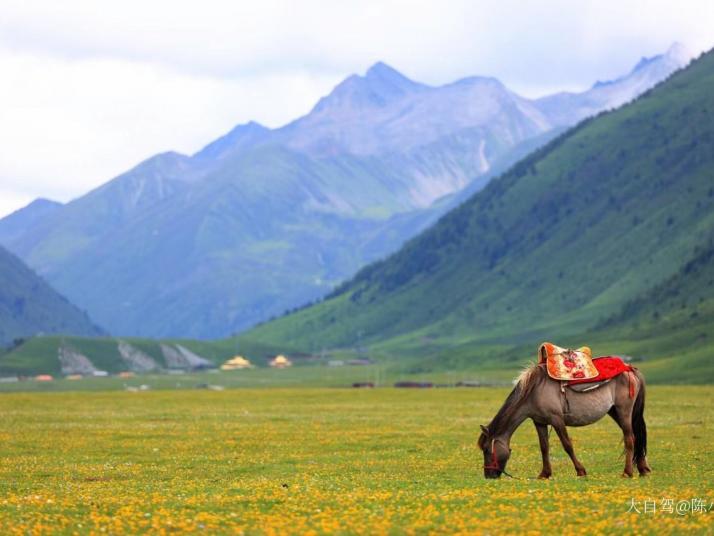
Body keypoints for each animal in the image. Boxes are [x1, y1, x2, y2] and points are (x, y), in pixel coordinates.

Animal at [478, 362, 652, 480]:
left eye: (486, 449)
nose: (488, 475)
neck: (534, 391)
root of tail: (630, 369)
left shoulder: (556, 419)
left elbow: (567, 445)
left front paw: (580, 471)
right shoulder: (539, 422)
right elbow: (544, 447)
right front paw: (544, 474)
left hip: (624, 411)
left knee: (629, 439)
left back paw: (627, 472)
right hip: (615, 411)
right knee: (636, 437)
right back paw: (643, 469)